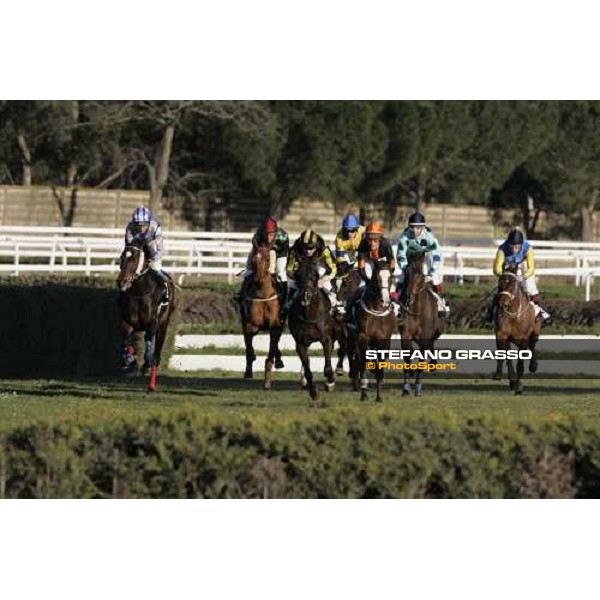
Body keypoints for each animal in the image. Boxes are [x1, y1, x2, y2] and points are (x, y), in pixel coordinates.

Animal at [116, 239, 173, 394]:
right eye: (121, 258)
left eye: (134, 259)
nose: (121, 282)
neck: (139, 293)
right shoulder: (127, 323)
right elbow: (124, 341)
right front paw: (129, 360)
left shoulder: (152, 324)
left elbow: (148, 344)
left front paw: (145, 364)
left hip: (163, 327)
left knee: (157, 356)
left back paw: (151, 385)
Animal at [290, 255, 338, 406]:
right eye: (298, 275)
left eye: (314, 275)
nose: (306, 295)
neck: (309, 314)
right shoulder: (300, 343)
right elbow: (308, 370)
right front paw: (314, 392)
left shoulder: (326, 339)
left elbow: (327, 368)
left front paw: (330, 381)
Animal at [350, 260, 396, 400]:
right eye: (377, 278)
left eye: (391, 278)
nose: (384, 301)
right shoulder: (363, 337)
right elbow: (363, 361)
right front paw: (364, 392)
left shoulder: (383, 339)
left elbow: (380, 363)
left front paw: (379, 395)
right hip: (352, 340)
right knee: (356, 360)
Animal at [400, 251, 442, 396]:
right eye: (407, 272)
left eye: (421, 276)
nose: (409, 298)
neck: (417, 310)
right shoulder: (406, 334)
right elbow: (407, 357)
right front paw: (406, 387)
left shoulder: (425, 337)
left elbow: (422, 360)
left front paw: (418, 387)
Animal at [494, 264, 540, 394]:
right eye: (500, 284)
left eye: (512, 285)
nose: (501, 303)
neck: (514, 315)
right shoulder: (501, 333)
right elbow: (506, 357)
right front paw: (507, 379)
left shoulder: (524, 336)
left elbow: (520, 361)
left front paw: (519, 386)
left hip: (534, 333)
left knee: (532, 346)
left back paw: (533, 366)